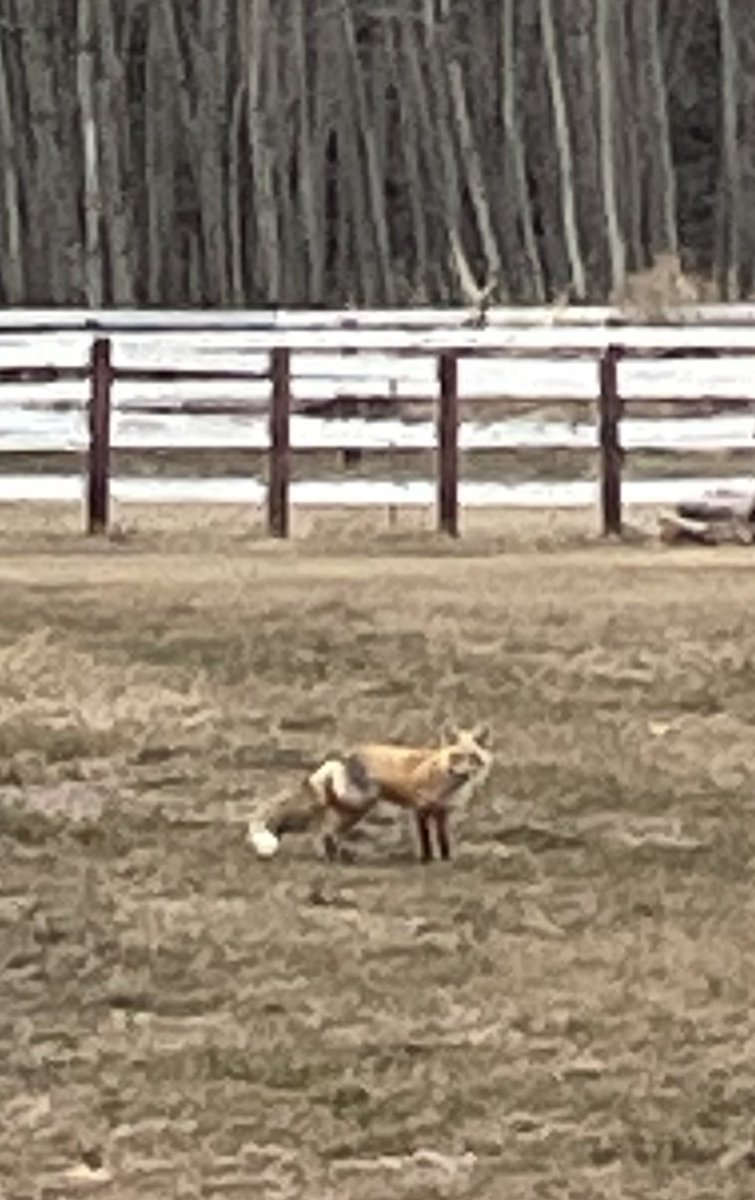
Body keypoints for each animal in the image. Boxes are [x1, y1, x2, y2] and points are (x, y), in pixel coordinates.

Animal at [248, 723, 493, 863]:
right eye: (456, 756)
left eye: (473, 758)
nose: (464, 773)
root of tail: (342, 757)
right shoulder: (420, 809)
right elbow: (425, 840)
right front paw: (427, 860)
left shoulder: (443, 813)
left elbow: (443, 841)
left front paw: (446, 861)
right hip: (361, 803)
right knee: (326, 831)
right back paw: (335, 860)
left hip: (350, 809)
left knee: (327, 833)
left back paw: (337, 858)